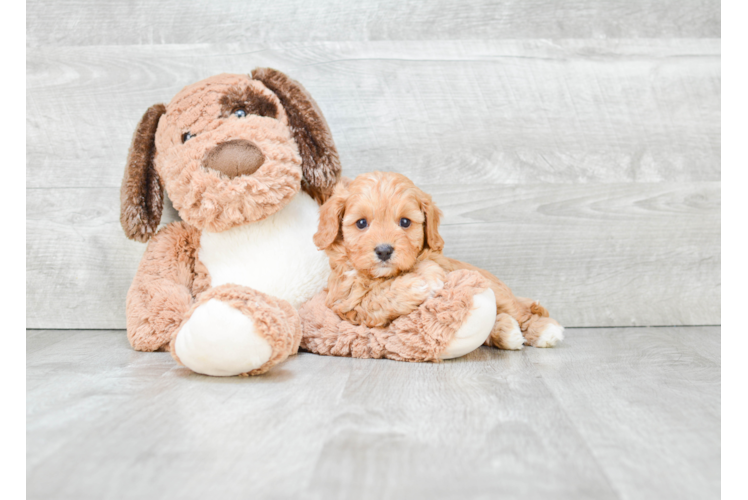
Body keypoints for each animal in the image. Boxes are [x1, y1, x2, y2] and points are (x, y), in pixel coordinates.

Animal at [312, 171, 564, 348]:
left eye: (405, 222)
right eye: (362, 223)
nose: (384, 251)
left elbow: (426, 265)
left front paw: (427, 275)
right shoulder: (345, 300)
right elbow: (374, 298)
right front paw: (419, 284)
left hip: (497, 290)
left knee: (521, 311)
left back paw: (544, 331)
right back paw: (507, 331)